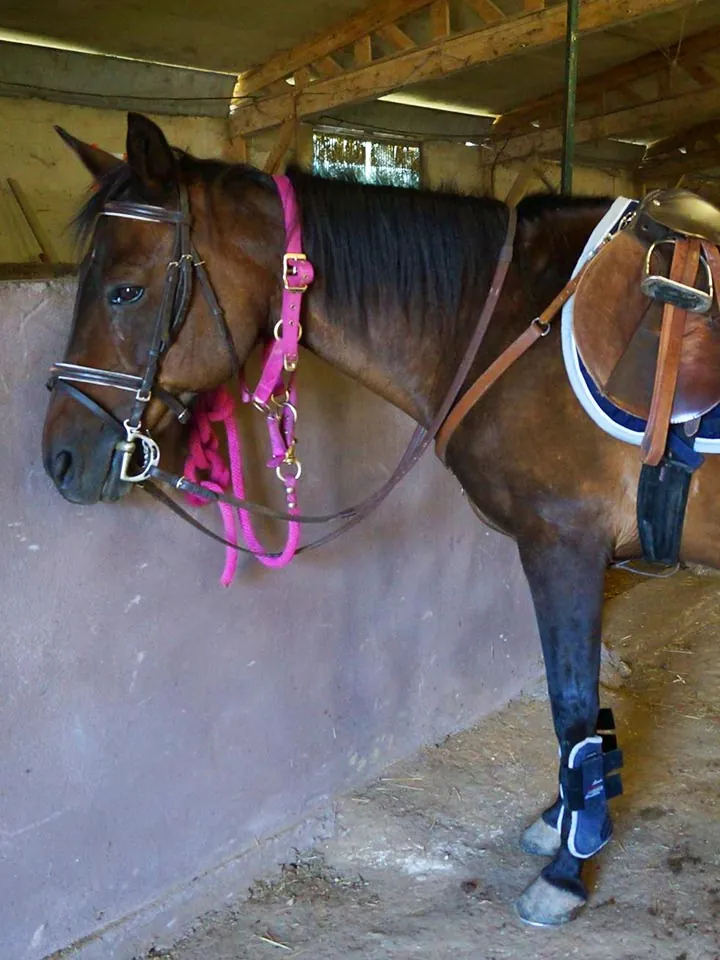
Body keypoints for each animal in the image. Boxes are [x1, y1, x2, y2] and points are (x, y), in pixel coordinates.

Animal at [41, 112, 720, 927]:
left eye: (126, 291)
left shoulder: (565, 548)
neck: (511, 321)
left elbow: (573, 708)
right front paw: (561, 820)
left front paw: (565, 870)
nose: (60, 458)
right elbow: (576, 704)